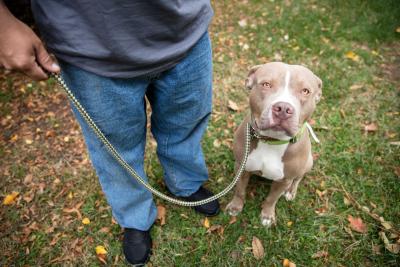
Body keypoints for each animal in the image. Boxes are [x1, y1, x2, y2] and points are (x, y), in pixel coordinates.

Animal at [225, 61, 322, 227]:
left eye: (305, 91)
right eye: (266, 84)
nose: (283, 109)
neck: (271, 140)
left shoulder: (284, 180)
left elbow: (272, 199)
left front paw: (267, 216)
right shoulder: (241, 167)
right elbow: (240, 190)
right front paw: (235, 207)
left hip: (308, 162)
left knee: (298, 178)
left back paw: (291, 192)